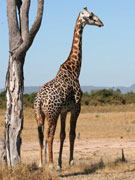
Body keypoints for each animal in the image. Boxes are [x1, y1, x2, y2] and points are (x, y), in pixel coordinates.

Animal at [33, 7, 103, 169]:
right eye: (90, 16)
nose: (101, 23)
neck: (74, 69)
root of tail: (39, 100)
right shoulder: (76, 107)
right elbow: (72, 133)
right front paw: (69, 161)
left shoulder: (64, 110)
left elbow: (63, 134)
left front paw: (60, 163)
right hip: (52, 113)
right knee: (49, 135)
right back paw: (50, 164)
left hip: (39, 114)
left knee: (40, 135)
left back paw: (41, 163)